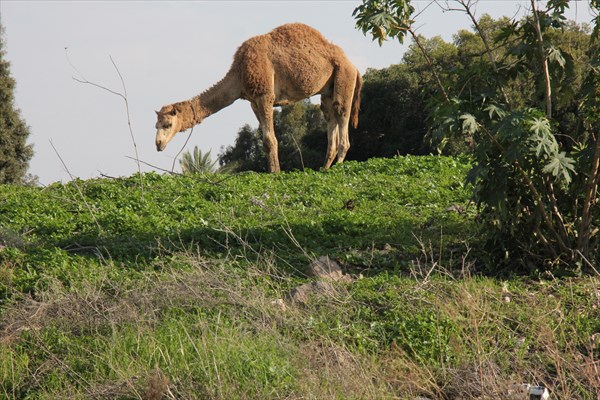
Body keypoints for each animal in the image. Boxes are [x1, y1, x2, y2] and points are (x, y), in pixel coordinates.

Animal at [155, 21, 360, 172]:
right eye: (156, 125)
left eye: (168, 124)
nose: (158, 144)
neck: (239, 73)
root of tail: (353, 65)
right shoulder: (253, 102)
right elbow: (265, 140)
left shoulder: (265, 95)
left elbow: (270, 139)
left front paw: (275, 173)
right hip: (328, 92)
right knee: (330, 119)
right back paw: (323, 170)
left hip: (344, 79)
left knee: (342, 120)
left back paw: (337, 169)